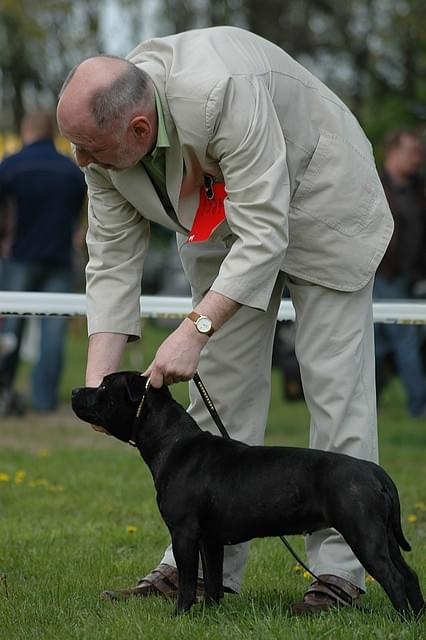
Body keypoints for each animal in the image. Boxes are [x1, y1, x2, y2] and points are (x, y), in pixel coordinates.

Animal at [71, 372, 424, 616]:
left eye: (104, 388)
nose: (75, 390)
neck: (170, 441)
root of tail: (374, 471)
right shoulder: (210, 540)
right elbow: (213, 580)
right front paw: (209, 614)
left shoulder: (184, 534)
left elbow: (187, 580)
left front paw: (179, 615)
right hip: (383, 537)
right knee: (409, 574)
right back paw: (416, 618)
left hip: (363, 535)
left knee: (393, 579)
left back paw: (402, 618)